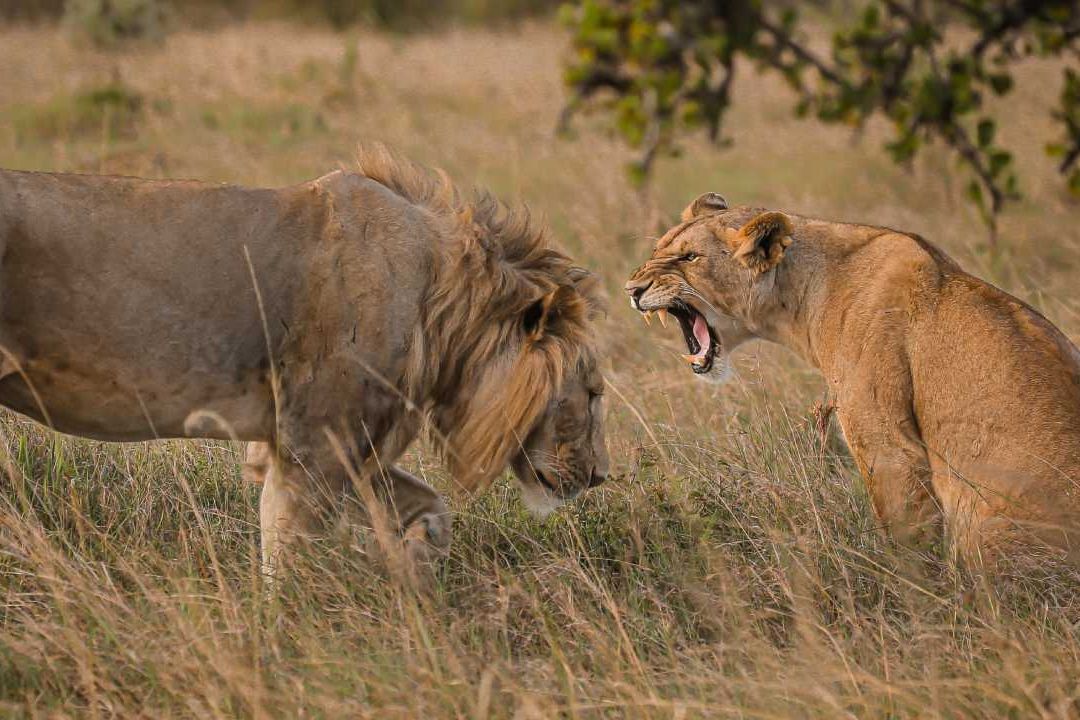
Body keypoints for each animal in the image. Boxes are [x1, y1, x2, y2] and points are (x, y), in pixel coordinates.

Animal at [0, 145, 608, 577]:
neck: (440, 303)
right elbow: (289, 552)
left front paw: (415, 578)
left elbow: (430, 508)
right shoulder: (316, 441)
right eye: (594, 393)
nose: (602, 476)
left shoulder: (337, 446)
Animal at [625, 192, 1080, 571]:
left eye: (689, 257)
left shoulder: (888, 445)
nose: (632, 289)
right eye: (657, 251)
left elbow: (907, 538)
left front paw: (911, 594)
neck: (804, 293)